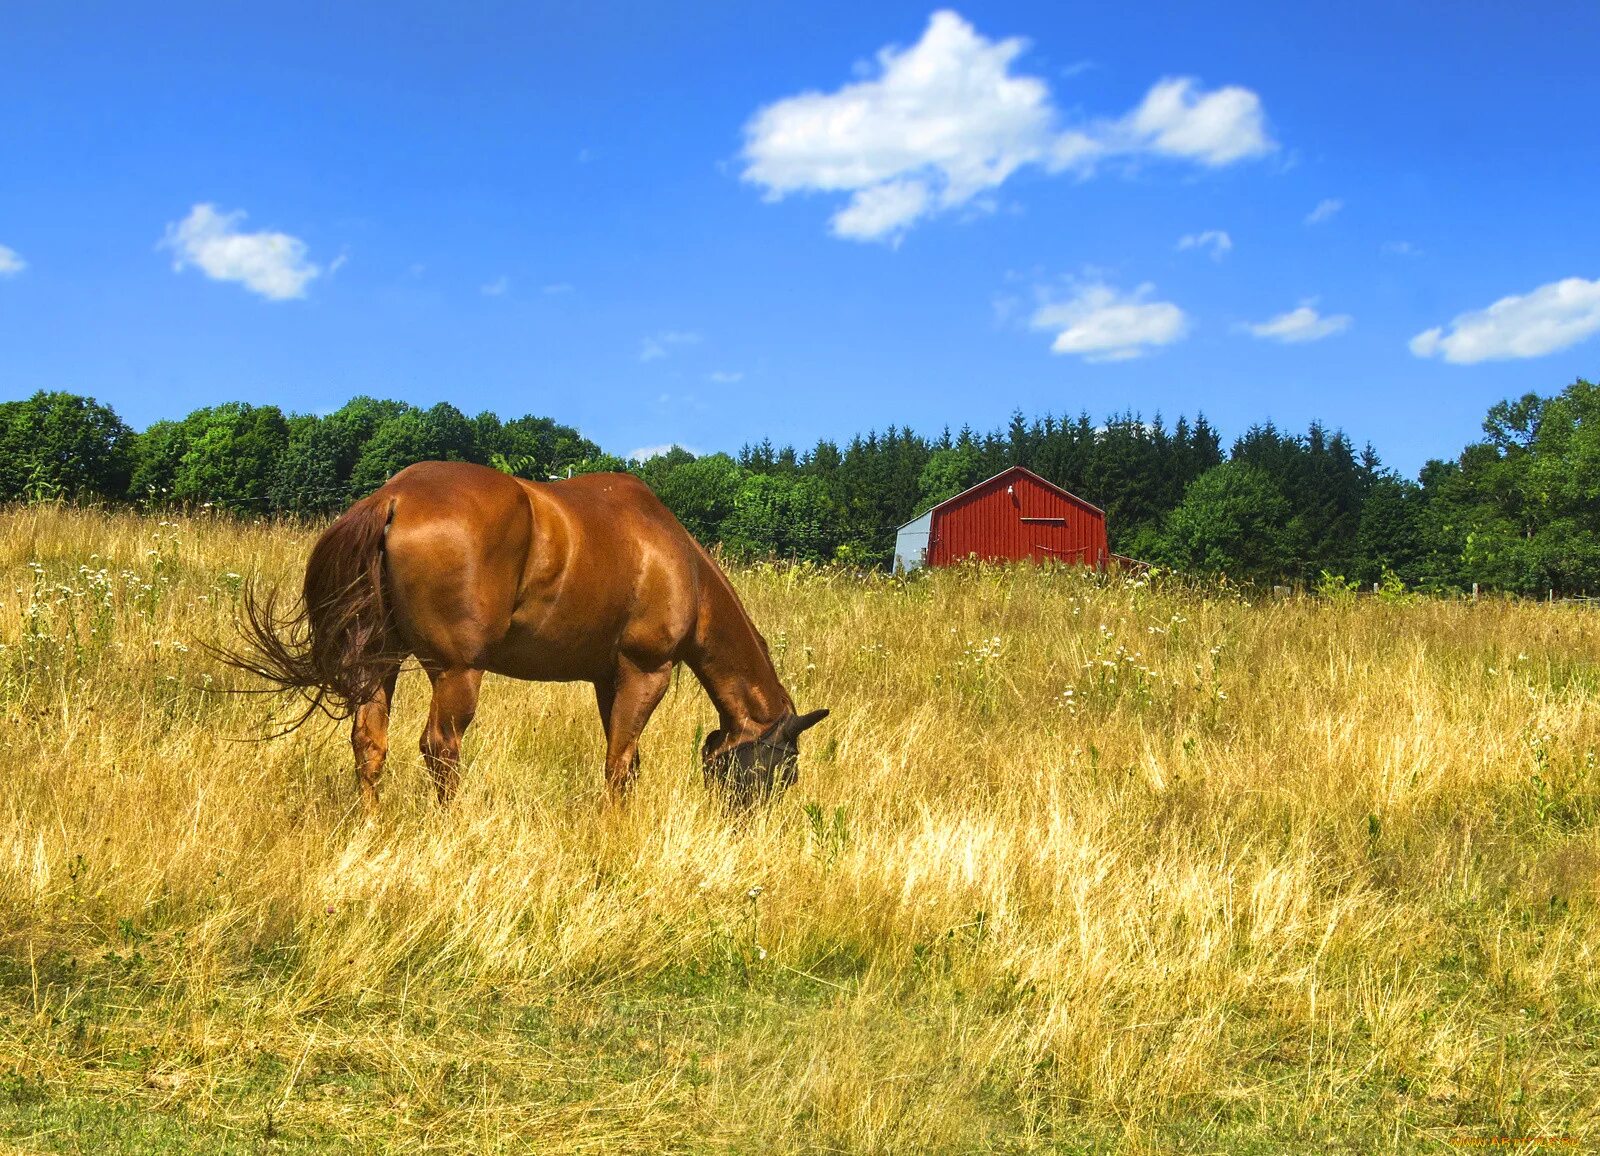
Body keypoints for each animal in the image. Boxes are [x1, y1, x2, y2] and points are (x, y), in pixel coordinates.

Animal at [232, 457, 832, 810]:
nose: (746, 826)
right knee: (440, 749)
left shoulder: (608, 680)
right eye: (783, 770)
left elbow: (625, 759)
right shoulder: (647, 671)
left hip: (378, 660)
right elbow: (619, 764)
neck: (677, 561)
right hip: (457, 672)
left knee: (369, 742)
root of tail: (394, 496)